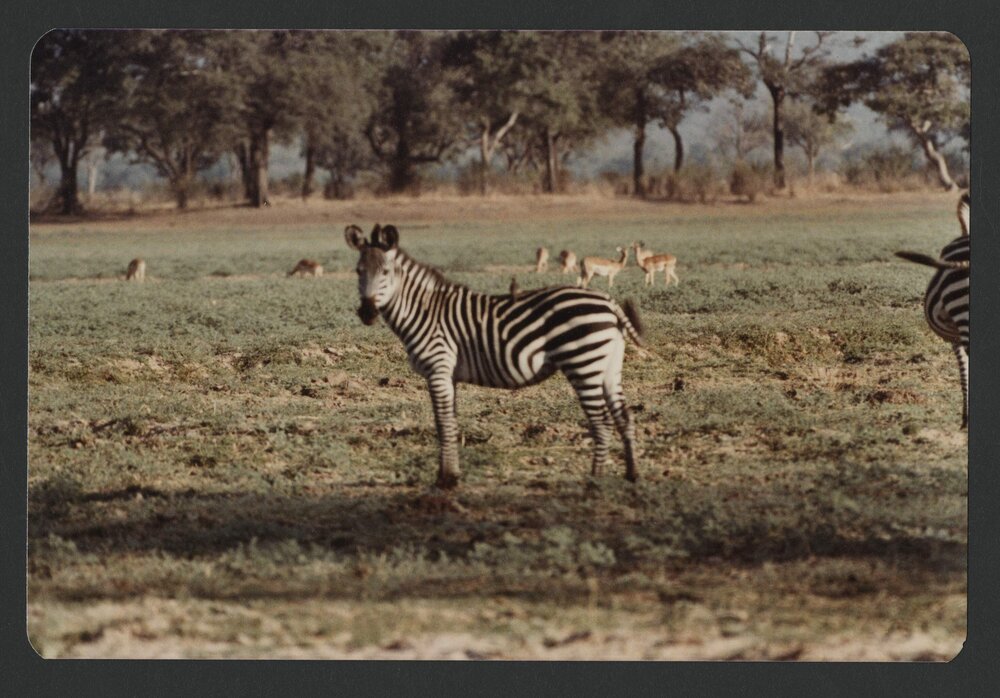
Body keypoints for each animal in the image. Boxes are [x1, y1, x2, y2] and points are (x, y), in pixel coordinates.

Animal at [345, 223, 646, 488]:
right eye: (358, 271)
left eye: (385, 271)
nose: (367, 313)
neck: (423, 311)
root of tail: (608, 302)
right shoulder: (449, 375)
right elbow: (451, 422)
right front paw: (452, 475)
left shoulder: (438, 368)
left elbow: (442, 423)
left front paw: (445, 480)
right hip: (608, 366)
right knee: (624, 416)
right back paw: (631, 475)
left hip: (583, 362)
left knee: (601, 422)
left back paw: (595, 481)